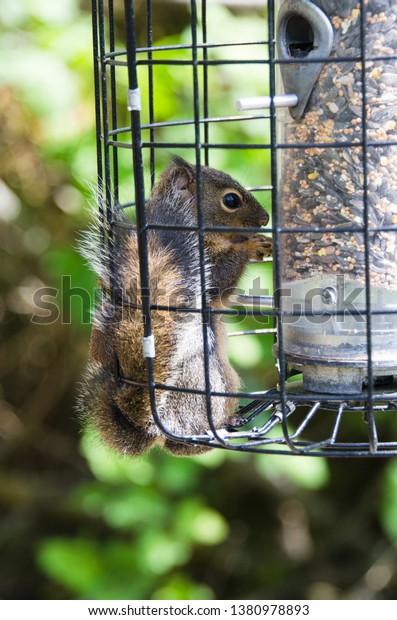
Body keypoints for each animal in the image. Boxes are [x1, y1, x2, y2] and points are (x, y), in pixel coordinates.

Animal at [79, 155, 270, 456]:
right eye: (231, 200)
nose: (265, 220)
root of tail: (153, 426)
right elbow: (219, 282)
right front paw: (250, 246)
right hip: (204, 378)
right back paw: (222, 424)